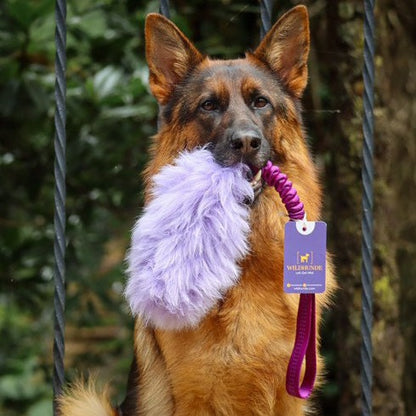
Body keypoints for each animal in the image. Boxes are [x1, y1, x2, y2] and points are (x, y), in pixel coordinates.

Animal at [59, 6, 334, 416]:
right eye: (209, 105)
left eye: (261, 102)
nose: (246, 143)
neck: (245, 267)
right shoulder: (198, 396)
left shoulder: (288, 397)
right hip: (88, 404)